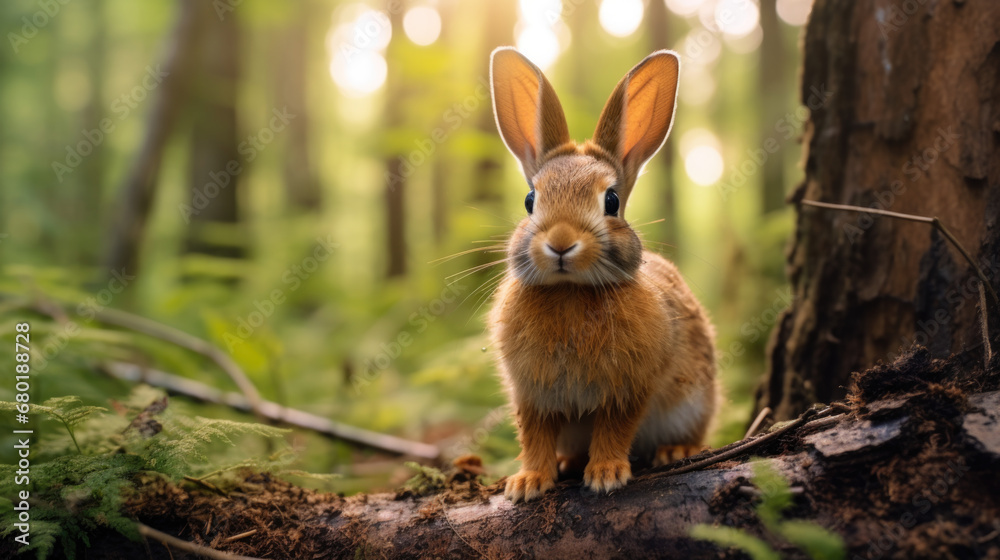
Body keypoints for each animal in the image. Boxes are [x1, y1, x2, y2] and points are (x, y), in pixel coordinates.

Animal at [487, 47, 719, 503]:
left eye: (611, 200)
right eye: (530, 200)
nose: (561, 242)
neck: (569, 290)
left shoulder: (628, 389)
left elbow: (615, 428)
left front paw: (607, 474)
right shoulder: (532, 394)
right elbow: (534, 435)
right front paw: (527, 483)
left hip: (695, 402)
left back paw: (675, 450)